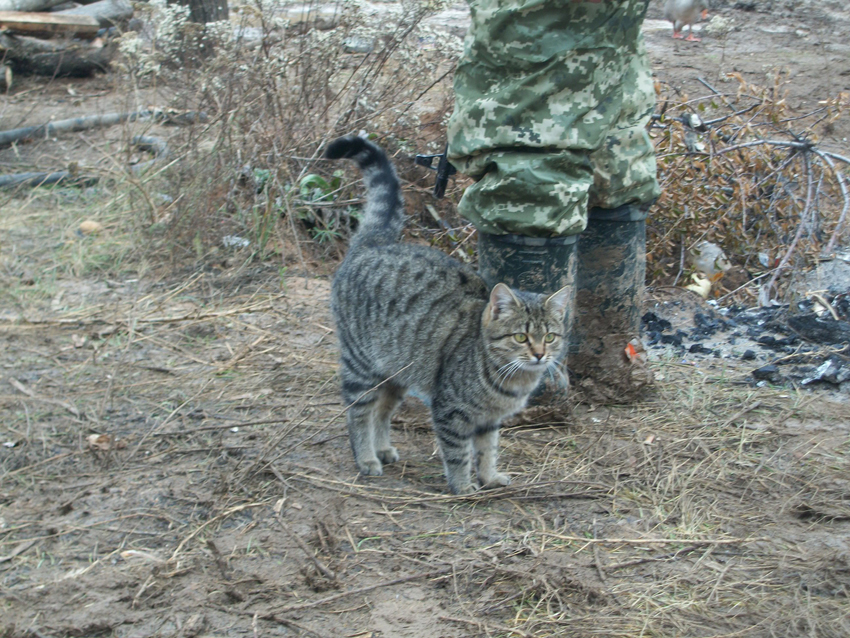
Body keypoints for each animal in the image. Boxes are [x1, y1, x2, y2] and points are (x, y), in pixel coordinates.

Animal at [324, 136, 568, 496]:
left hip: (396, 371)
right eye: (521, 337)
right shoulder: (451, 410)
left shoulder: (489, 420)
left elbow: (488, 449)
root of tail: (374, 244)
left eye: (549, 336)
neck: (509, 380)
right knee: (358, 414)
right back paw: (366, 457)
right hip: (361, 367)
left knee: (382, 411)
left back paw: (382, 448)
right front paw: (463, 485)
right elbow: (458, 453)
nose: (539, 355)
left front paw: (490, 476)